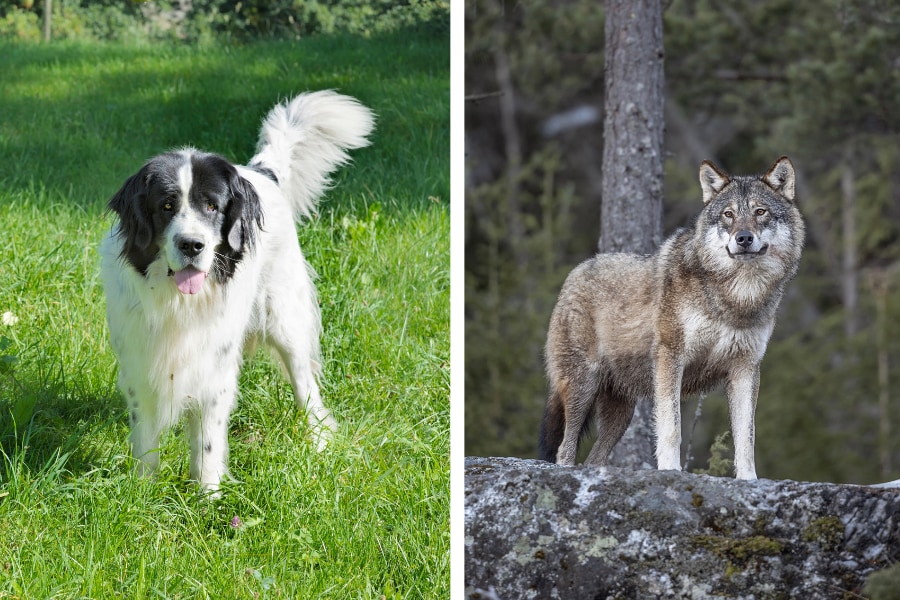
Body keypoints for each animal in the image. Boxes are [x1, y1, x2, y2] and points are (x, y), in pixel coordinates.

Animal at [99, 90, 376, 492]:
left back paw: (319, 438)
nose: (192, 245)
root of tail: (261, 171)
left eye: (212, 206)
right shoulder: (140, 362)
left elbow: (208, 443)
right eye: (166, 206)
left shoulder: (213, 369)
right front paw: (142, 492)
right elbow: (146, 438)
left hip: (285, 317)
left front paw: (207, 496)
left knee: (305, 382)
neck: (179, 303)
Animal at [536, 157, 804, 480]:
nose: (743, 238)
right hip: (583, 386)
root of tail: (574, 274)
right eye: (728, 215)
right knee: (565, 449)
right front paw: (671, 471)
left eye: (760, 212)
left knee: (593, 458)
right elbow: (672, 427)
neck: (735, 299)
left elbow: (746, 437)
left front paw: (748, 480)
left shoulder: (746, 368)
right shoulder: (670, 358)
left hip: (620, 414)